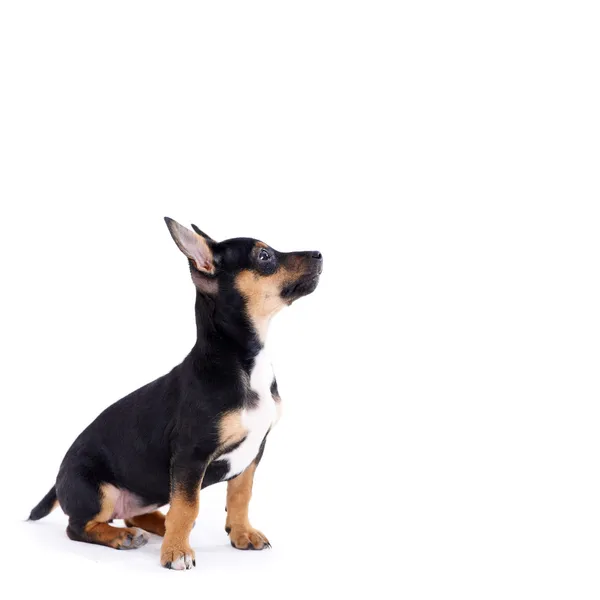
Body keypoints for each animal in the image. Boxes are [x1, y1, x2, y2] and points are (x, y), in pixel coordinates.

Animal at [29, 217, 324, 572]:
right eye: (264, 256)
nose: (320, 254)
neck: (243, 360)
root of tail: (58, 480)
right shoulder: (190, 456)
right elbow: (188, 506)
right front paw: (176, 552)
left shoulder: (254, 451)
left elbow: (240, 496)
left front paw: (242, 534)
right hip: (98, 491)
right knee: (79, 526)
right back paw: (123, 537)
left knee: (133, 515)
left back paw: (156, 527)